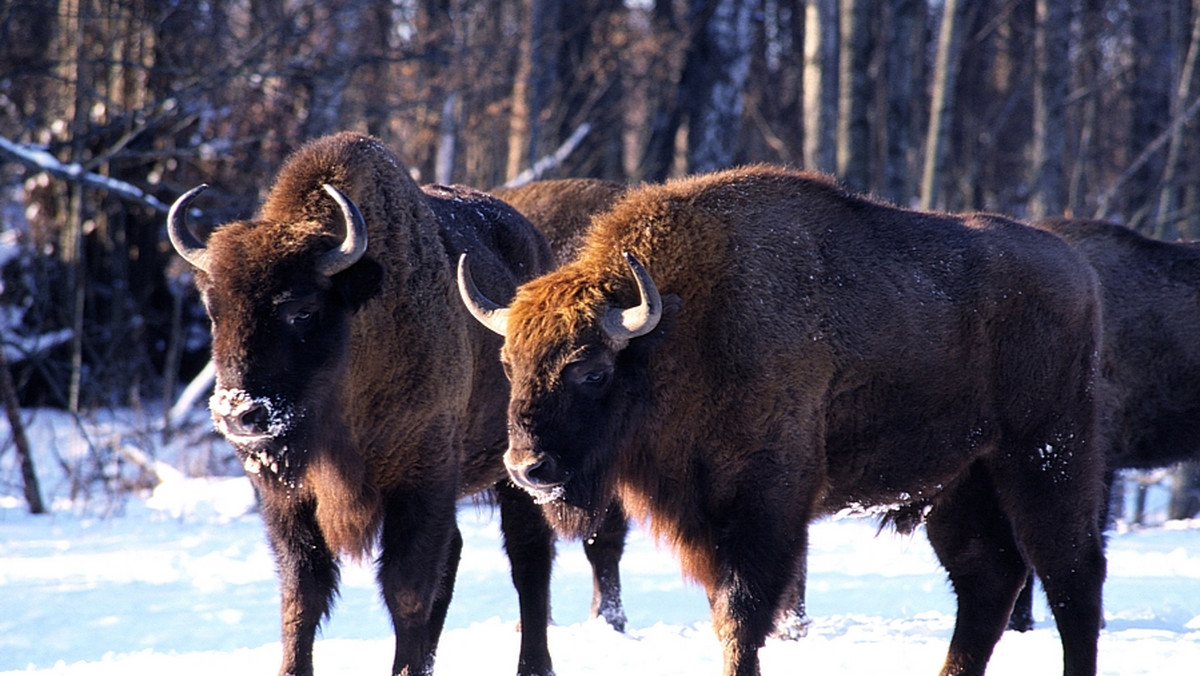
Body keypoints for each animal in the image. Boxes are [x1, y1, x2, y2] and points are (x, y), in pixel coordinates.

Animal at [166, 132, 564, 676]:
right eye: (213, 310)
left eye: (301, 310)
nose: (238, 413)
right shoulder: (288, 500)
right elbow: (303, 593)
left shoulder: (421, 481)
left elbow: (406, 591)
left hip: (518, 471)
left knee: (528, 560)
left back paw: (533, 665)